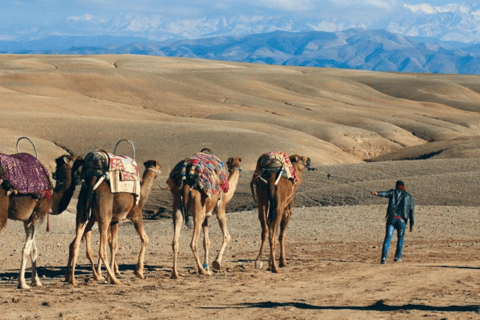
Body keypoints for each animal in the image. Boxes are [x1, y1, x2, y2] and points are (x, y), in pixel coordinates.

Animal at [0, 154, 83, 288]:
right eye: (72, 158)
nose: (81, 158)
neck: (52, 198)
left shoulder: (29, 219)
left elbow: (34, 250)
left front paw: (36, 281)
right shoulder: (40, 214)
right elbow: (26, 250)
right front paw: (23, 283)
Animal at [65, 155, 161, 284]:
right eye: (159, 165)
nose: (161, 170)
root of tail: (92, 183)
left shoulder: (114, 220)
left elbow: (113, 244)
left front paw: (111, 273)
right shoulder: (135, 215)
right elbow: (144, 239)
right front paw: (138, 272)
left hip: (83, 213)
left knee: (75, 244)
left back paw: (72, 279)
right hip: (103, 216)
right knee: (101, 250)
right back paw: (114, 280)